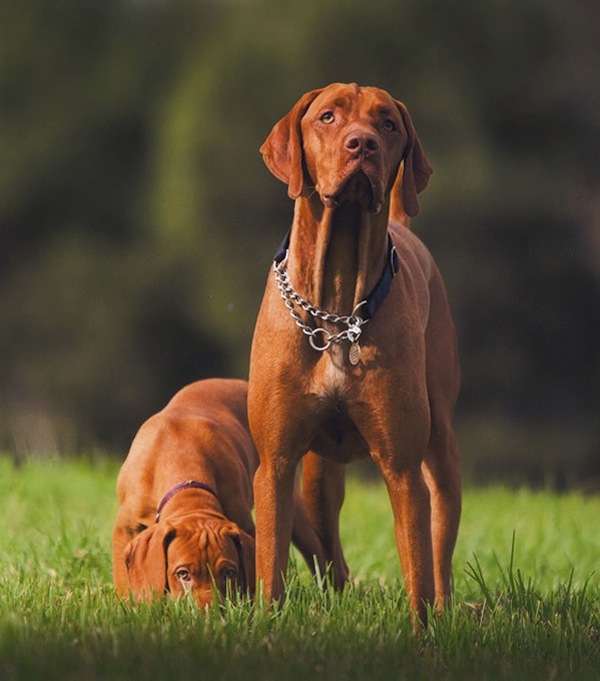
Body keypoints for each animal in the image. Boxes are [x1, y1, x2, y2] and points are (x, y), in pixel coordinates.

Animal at [112, 378, 324, 604]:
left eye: (228, 573)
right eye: (183, 574)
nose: (209, 610)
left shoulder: (243, 523)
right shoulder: (125, 527)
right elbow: (123, 579)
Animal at [246, 82, 462, 624]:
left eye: (388, 123)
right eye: (327, 117)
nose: (362, 144)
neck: (338, 312)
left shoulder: (402, 469)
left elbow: (417, 571)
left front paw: (422, 633)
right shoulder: (276, 462)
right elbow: (271, 565)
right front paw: (267, 625)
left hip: (441, 445)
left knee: (440, 550)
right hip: (318, 478)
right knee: (332, 557)